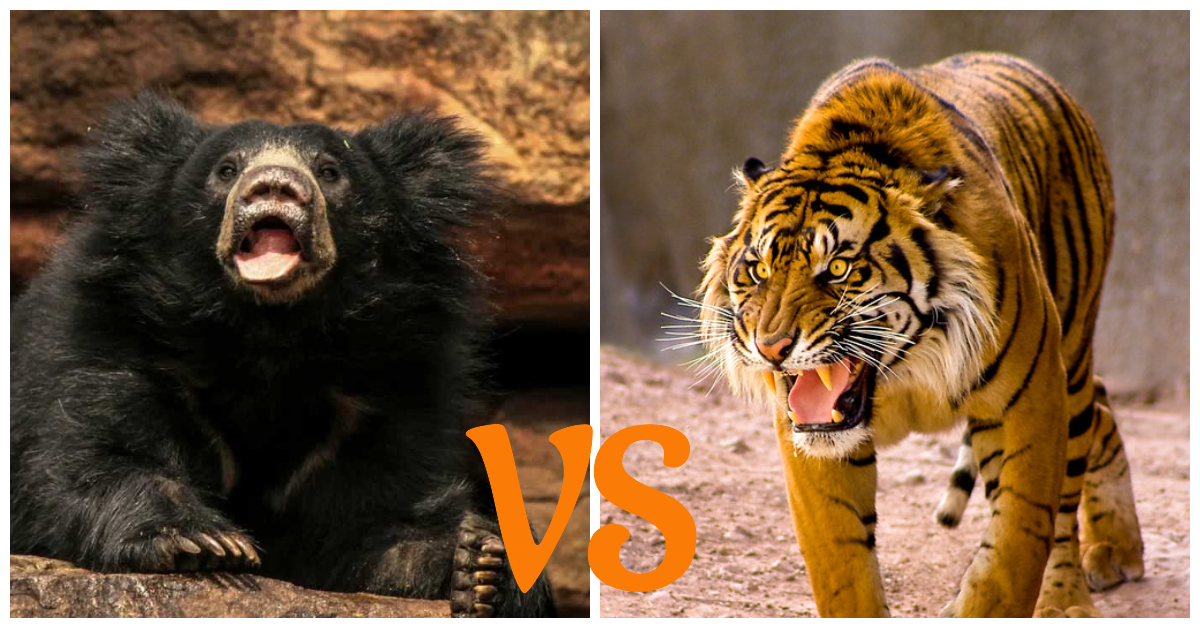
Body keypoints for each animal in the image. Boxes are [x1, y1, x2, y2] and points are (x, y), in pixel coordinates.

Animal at [10, 92, 554, 618]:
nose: (274, 185)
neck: (270, 334)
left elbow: (368, 520)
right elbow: (95, 460)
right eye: (227, 169)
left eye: (330, 171)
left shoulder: (392, 383)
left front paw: (481, 563)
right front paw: (207, 542)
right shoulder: (113, 338)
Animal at [696, 53, 1143, 617]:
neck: (905, 368)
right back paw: (1117, 549)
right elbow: (841, 560)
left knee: (1077, 460)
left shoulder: (1030, 400)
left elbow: (1015, 546)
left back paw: (1075, 590)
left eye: (838, 268)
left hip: (1072, 345)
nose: (771, 348)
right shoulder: (809, 437)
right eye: (757, 270)